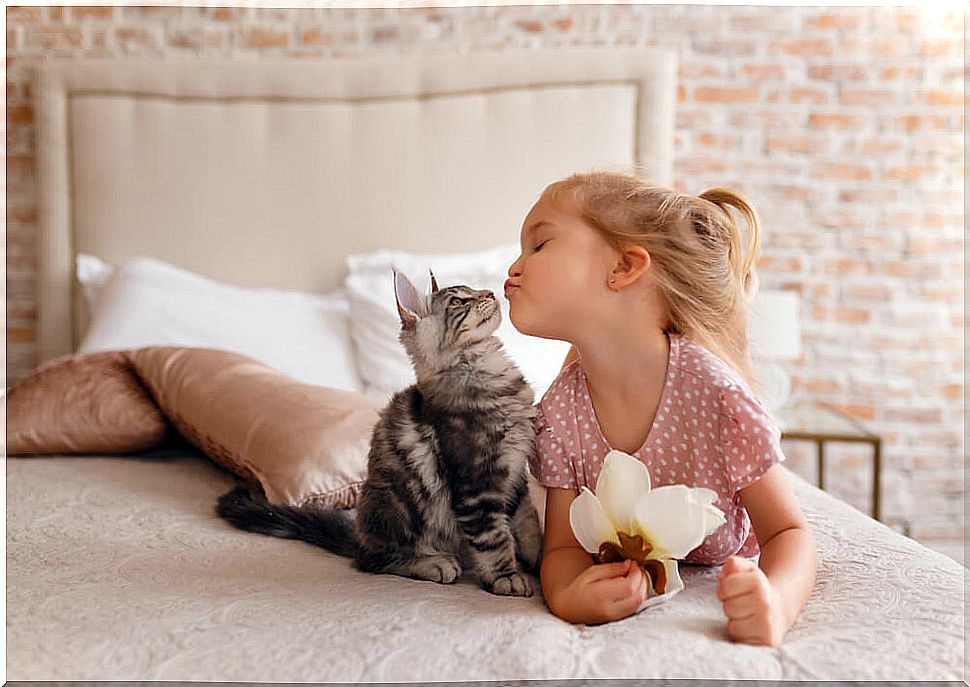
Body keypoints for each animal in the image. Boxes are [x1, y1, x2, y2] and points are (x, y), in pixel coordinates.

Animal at [215, 268, 540, 596]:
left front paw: (536, 554)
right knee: (372, 560)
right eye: (459, 301)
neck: (488, 371)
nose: (490, 293)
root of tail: (359, 533)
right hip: (400, 506)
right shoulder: (476, 483)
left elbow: (526, 518)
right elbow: (493, 538)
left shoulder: (515, 473)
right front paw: (507, 576)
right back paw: (433, 563)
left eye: (474, 290)